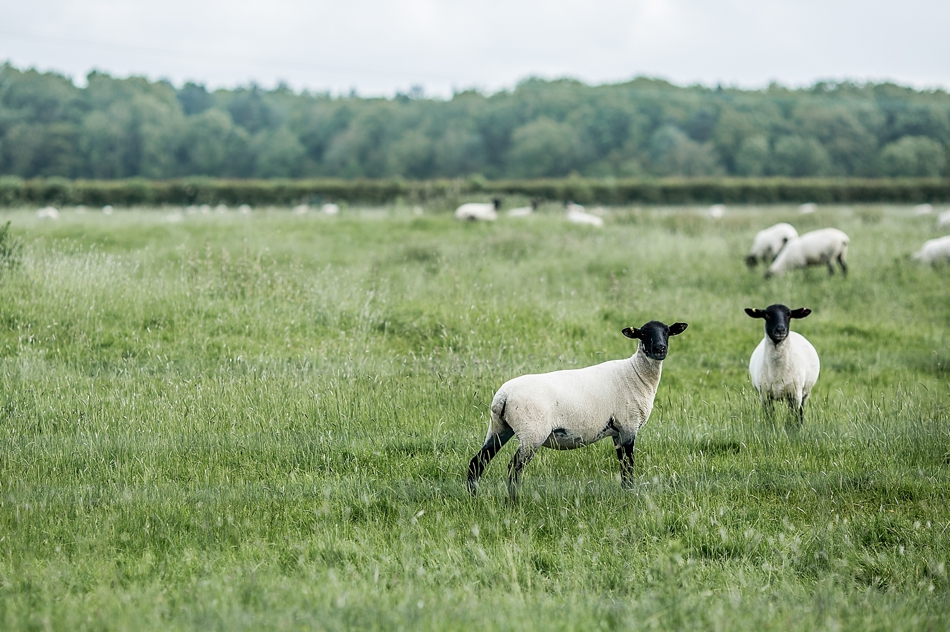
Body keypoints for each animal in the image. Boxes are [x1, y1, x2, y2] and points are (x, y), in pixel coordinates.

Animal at [466, 318, 684, 502]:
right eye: (644, 333)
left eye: (666, 332)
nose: (660, 348)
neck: (635, 374)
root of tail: (503, 396)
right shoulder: (628, 427)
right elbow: (628, 466)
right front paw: (630, 494)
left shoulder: (618, 432)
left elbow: (623, 466)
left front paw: (625, 492)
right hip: (532, 434)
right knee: (513, 468)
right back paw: (512, 502)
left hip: (499, 427)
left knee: (477, 462)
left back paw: (473, 498)